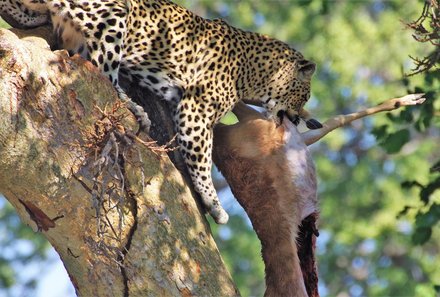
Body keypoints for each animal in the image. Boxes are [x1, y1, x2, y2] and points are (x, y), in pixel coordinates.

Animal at [1, 0, 322, 222]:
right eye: (304, 96)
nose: (305, 120)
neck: (254, 69)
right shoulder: (197, 111)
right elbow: (202, 161)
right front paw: (214, 204)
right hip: (115, 16)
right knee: (103, 71)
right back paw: (135, 108)